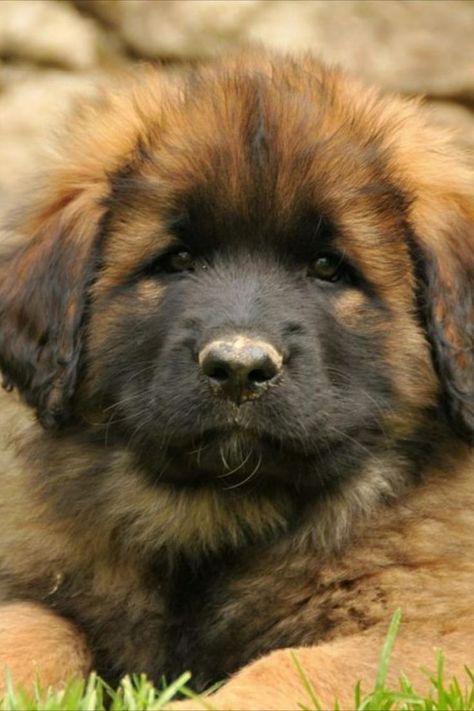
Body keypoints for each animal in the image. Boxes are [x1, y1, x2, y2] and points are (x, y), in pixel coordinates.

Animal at [0, 48, 472, 708]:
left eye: (328, 267)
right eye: (176, 261)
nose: (240, 370)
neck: (222, 517)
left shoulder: (433, 630)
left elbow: (287, 670)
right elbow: (33, 623)